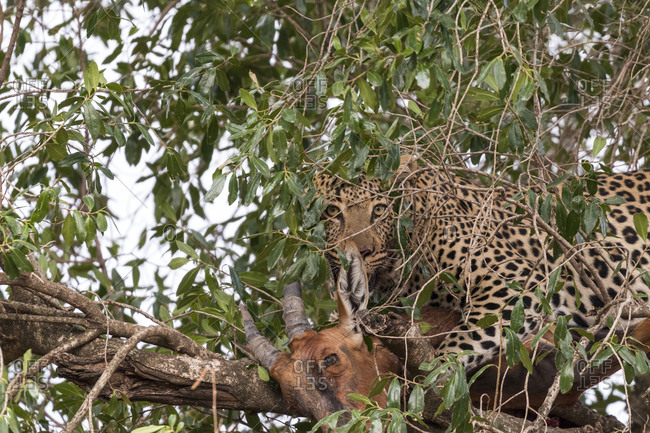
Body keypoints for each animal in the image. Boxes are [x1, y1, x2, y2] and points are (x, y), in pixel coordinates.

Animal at [314, 156, 650, 373]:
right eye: (333, 211)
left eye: (380, 209)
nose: (359, 252)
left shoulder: (514, 279)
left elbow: (466, 337)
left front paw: (436, 376)